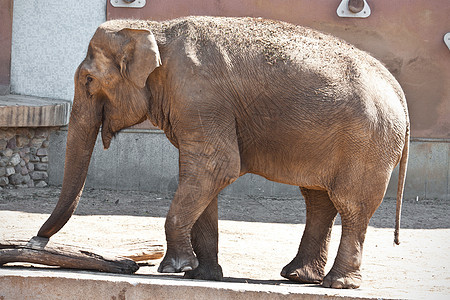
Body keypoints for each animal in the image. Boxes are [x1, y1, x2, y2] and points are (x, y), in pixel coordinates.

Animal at [37, 16, 410, 288]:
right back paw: (297, 276)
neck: (154, 28)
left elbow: (217, 166)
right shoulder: (193, 107)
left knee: (351, 205)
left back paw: (338, 284)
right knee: (318, 199)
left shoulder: (198, 96)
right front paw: (200, 274)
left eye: (87, 80)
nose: (37, 240)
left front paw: (174, 268)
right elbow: (204, 177)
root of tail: (398, 90)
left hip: (368, 143)